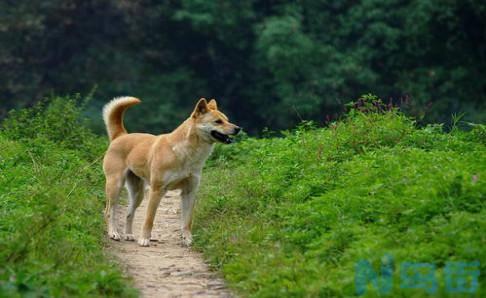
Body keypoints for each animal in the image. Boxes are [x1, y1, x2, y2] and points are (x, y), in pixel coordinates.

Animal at [103, 96, 241, 246]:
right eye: (218, 121)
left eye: (227, 119)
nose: (238, 128)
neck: (185, 152)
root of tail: (120, 135)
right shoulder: (157, 190)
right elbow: (149, 219)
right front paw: (144, 239)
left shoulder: (189, 192)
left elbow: (187, 221)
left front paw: (188, 239)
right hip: (115, 186)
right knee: (109, 211)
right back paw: (113, 233)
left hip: (138, 193)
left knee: (129, 213)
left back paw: (128, 235)